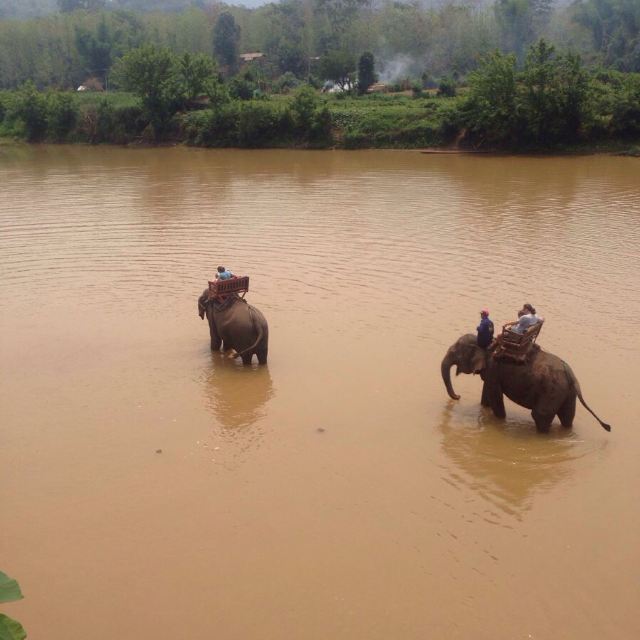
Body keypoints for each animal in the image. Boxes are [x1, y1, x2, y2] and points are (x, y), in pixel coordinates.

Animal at [440, 336, 608, 436]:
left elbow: (494, 396)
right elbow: (487, 394)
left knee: (540, 415)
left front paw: (499, 421)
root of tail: (571, 376)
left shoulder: (494, 370)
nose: (458, 396)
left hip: (552, 391)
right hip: (567, 394)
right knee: (567, 417)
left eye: (455, 352)